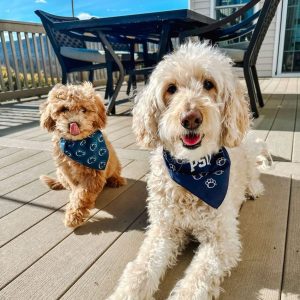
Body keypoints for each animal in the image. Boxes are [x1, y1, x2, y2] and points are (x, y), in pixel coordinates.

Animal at [39, 82, 125, 227]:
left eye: (84, 109)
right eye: (63, 109)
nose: (73, 124)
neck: (78, 144)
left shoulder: (93, 175)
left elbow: (82, 194)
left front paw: (73, 216)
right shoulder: (67, 172)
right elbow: (76, 190)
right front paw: (74, 211)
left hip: (115, 162)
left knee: (115, 172)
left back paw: (116, 180)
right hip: (60, 173)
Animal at [110, 42, 268, 300]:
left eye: (208, 84)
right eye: (171, 89)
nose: (191, 118)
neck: (194, 174)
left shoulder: (222, 241)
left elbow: (196, 281)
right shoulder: (164, 230)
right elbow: (141, 268)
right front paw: (126, 293)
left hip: (248, 147)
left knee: (253, 172)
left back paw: (253, 188)